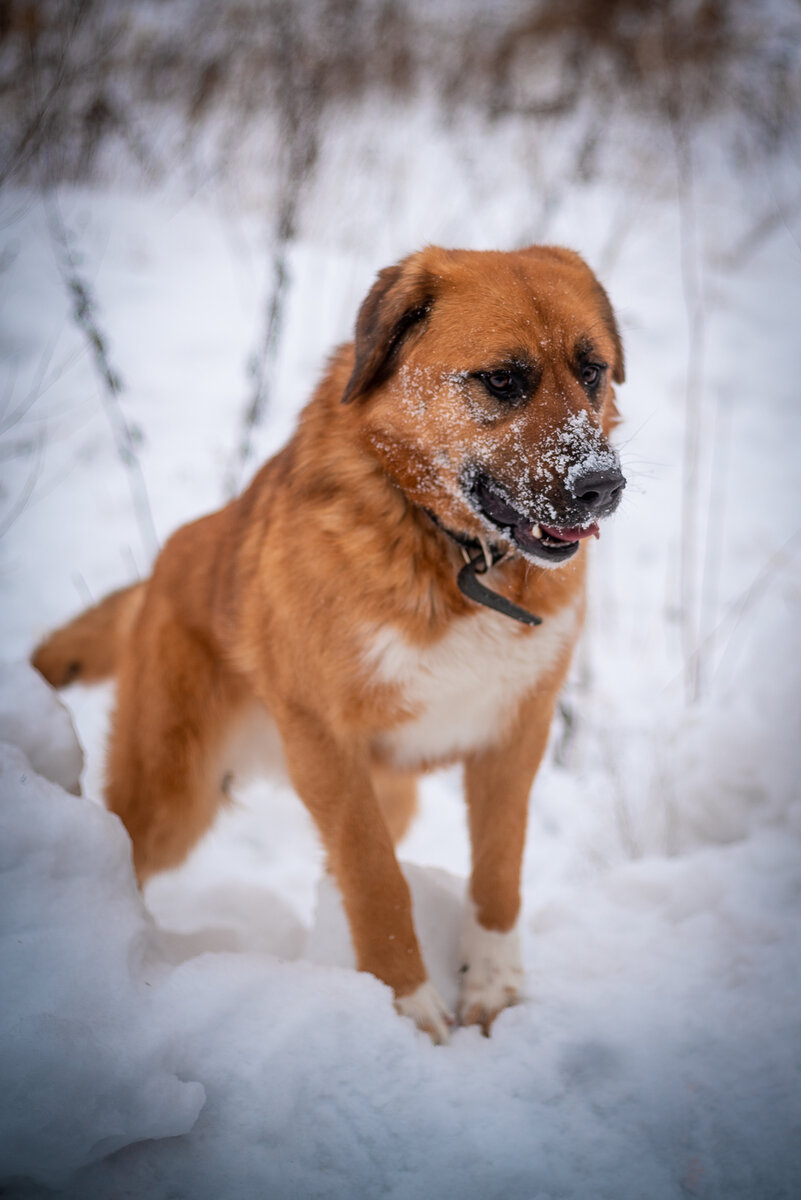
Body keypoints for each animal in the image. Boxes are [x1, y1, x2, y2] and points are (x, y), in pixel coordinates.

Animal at [32, 243, 623, 1041]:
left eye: (592, 371)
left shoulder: (514, 735)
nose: (604, 486)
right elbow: (376, 881)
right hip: (174, 791)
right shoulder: (326, 745)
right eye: (503, 380)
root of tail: (165, 566)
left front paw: (495, 990)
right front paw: (409, 1011)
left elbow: (498, 874)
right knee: (128, 845)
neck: (453, 556)